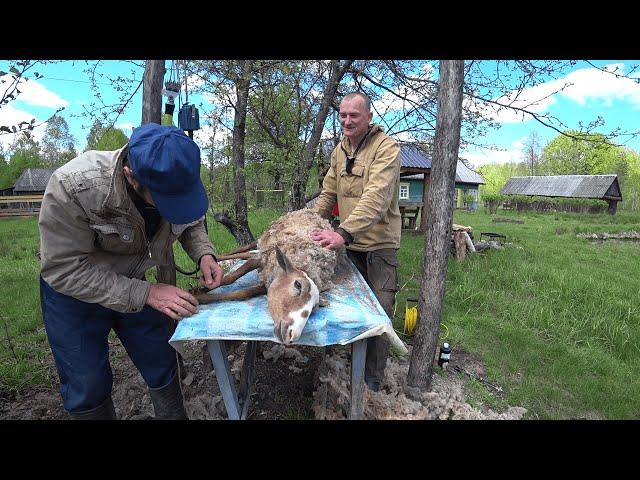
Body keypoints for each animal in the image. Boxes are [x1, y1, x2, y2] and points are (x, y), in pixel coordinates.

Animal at [195, 208, 348, 344]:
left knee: (247, 254)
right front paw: (200, 289)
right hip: (263, 244)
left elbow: (243, 293)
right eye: (298, 285)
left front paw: (200, 296)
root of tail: (308, 210)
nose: (292, 335)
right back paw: (217, 259)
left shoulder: (268, 281)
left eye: (313, 309)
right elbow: (231, 277)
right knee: (244, 249)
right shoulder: (262, 260)